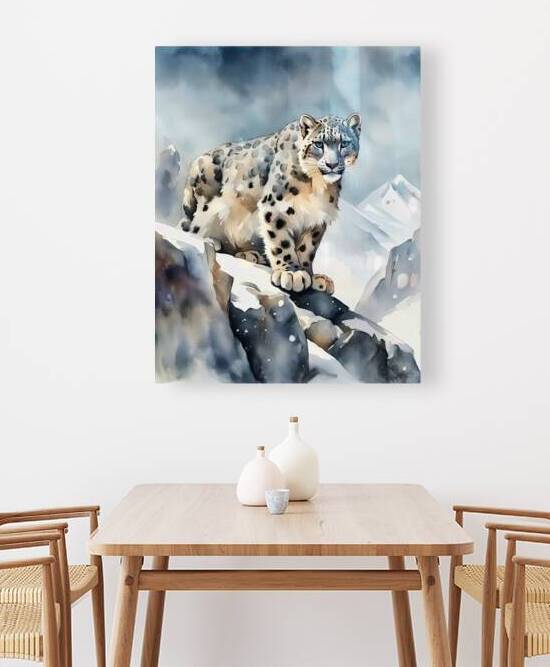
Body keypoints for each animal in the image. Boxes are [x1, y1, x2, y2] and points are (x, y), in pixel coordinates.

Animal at [180, 112, 361, 294]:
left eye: (345, 143)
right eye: (318, 144)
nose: (332, 164)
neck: (317, 184)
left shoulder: (317, 217)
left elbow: (307, 248)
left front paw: (311, 276)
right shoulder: (276, 207)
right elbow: (281, 241)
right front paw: (292, 273)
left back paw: (250, 254)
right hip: (207, 205)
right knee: (193, 228)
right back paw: (211, 241)